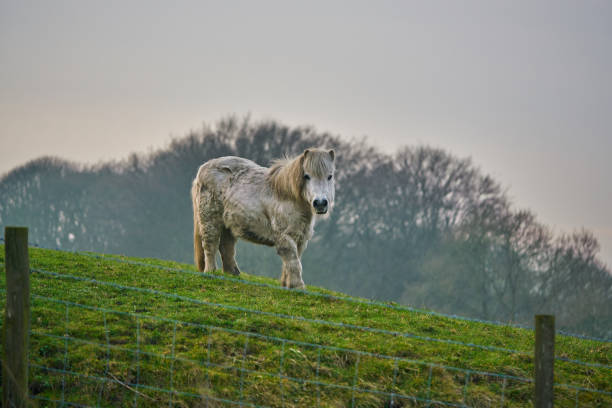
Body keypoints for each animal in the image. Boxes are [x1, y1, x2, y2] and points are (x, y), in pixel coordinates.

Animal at [190, 148, 334, 288]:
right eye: (307, 176)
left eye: (330, 176)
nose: (320, 203)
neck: (287, 195)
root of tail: (203, 169)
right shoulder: (285, 237)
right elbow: (294, 263)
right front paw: (297, 287)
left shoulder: (300, 239)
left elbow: (292, 262)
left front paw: (286, 284)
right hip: (209, 220)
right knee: (210, 245)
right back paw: (211, 272)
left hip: (228, 224)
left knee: (226, 247)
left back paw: (233, 274)